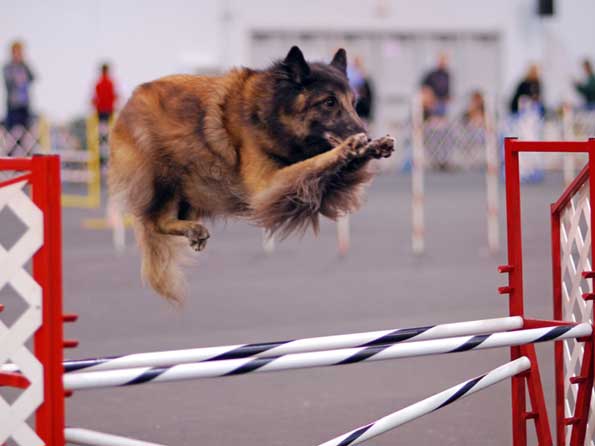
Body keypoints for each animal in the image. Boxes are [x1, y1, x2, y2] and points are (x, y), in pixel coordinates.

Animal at [108, 47, 396, 302]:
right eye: (329, 102)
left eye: (354, 103)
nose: (365, 132)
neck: (269, 114)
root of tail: (127, 105)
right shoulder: (268, 186)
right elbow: (314, 163)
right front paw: (350, 147)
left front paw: (372, 146)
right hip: (165, 176)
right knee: (153, 221)